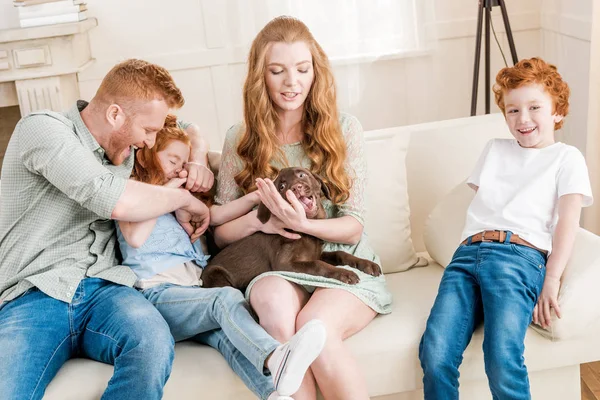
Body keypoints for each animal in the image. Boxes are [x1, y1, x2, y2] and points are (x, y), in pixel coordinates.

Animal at [202, 166, 380, 290]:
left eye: (301, 175)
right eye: (281, 187)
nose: (295, 188)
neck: (305, 232)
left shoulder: (316, 253)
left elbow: (339, 253)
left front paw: (365, 264)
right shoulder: (284, 264)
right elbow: (317, 264)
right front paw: (345, 273)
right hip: (216, 275)